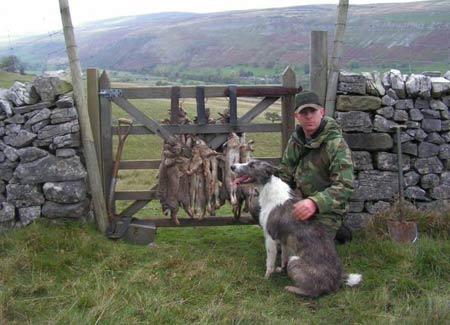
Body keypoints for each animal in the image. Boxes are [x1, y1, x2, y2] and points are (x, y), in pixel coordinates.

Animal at [232, 159, 362, 296]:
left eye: (252, 165)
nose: (232, 166)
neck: (269, 187)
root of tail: (337, 281)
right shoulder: (283, 239)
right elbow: (283, 257)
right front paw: (281, 269)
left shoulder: (270, 238)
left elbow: (270, 263)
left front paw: (266, 278)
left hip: (294, 261)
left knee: (312, 292)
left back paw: (291, 288)